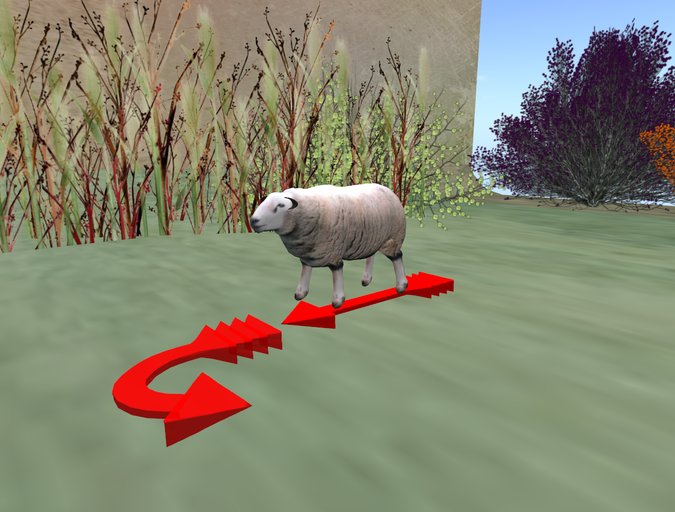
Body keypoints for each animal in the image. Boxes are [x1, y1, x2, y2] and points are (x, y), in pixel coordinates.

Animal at [250, 183, 408, 308]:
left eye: (280, 205)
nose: (253, 221)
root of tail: (388, 190)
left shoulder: (333, 251)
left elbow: (337, 271)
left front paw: (338, 300)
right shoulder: (310, 253)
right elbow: (305, 270)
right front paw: (301, 293)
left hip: (393, 238)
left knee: (398, 257)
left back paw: (401, 285)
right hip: (372, 237)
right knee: (371, 255)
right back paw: (366, 279)